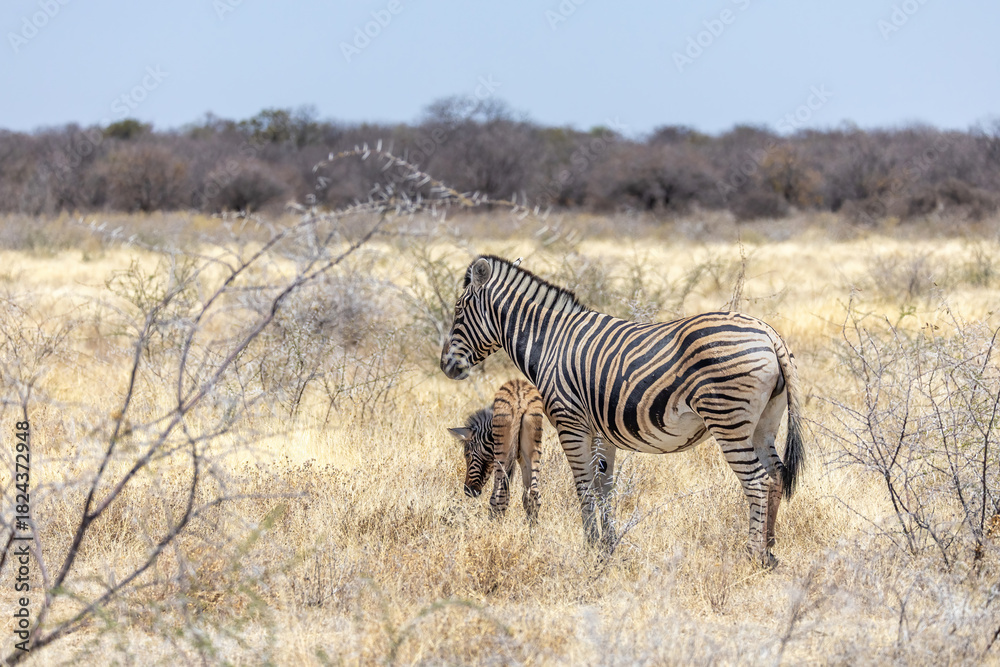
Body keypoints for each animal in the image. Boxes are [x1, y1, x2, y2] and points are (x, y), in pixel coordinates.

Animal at [448, 378, 546, 521]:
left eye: (467, 455)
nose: (467, 491)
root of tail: (520, 398)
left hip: (501, 453)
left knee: (499, 494)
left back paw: (493, 523)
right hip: (533, 445)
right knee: (534, 493)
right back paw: (532, 526)